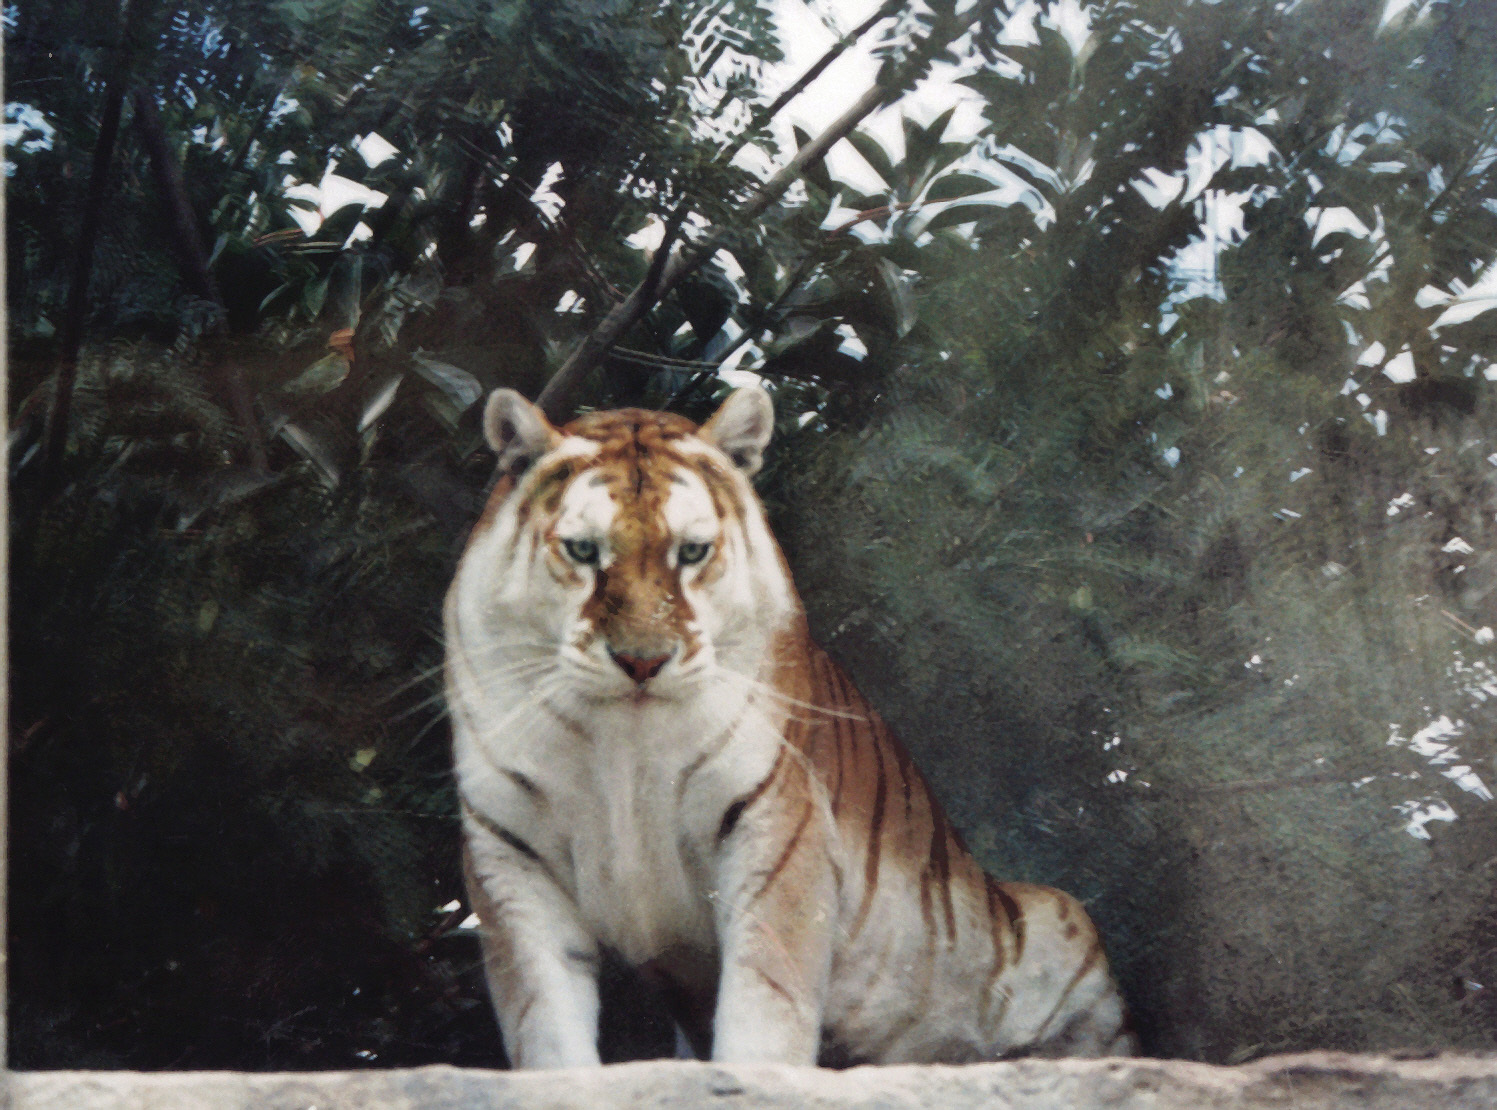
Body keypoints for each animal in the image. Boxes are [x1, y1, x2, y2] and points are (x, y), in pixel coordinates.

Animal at [444, 384, 1135, 1068]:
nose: (642, 661)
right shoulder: (511, 854)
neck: (621, 745)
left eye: (691, 552)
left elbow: (765, 1004)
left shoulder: (773, 822)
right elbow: (544, 1022)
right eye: (584, 551)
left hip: (1058, 925)